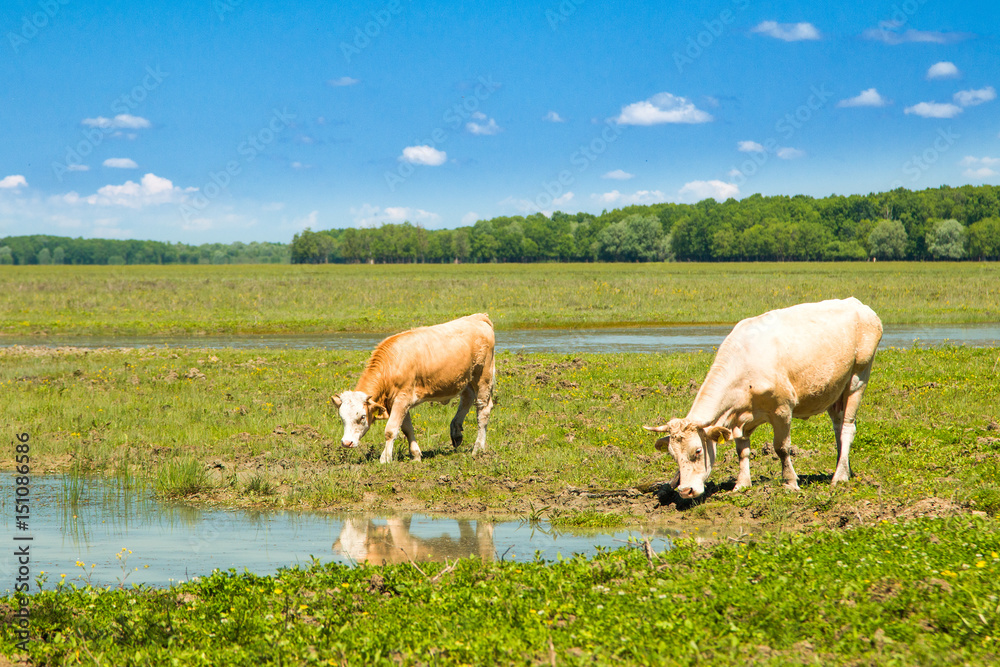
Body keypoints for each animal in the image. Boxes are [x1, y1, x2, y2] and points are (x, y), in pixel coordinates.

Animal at [332, 313, 496, 463]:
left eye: (362, 417)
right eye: (342, 417)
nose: (346, 443)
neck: (392, 365)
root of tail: (478, 317)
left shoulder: (402, 399)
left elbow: (391, 430)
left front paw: (385, 459)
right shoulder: (397, 402)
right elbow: (406, 428)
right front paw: (416, 455)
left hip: (483, 375)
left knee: (483, 409)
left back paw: (478, 448)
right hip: (465, 379)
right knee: (467, 398)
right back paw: (456, 433)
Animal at [645, 298, 883, 499]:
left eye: (697, 451)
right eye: (673, 455)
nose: (685, 491)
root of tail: (858, 305)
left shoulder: (782, 409)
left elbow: (782, 448)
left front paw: (790, 482)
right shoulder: (740, 417)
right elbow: (742, 451)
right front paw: (741, 484)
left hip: (858, 377)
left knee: (848, 428)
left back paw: (839, 477)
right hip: (835, 390)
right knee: (838, 427)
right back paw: (844, 468)